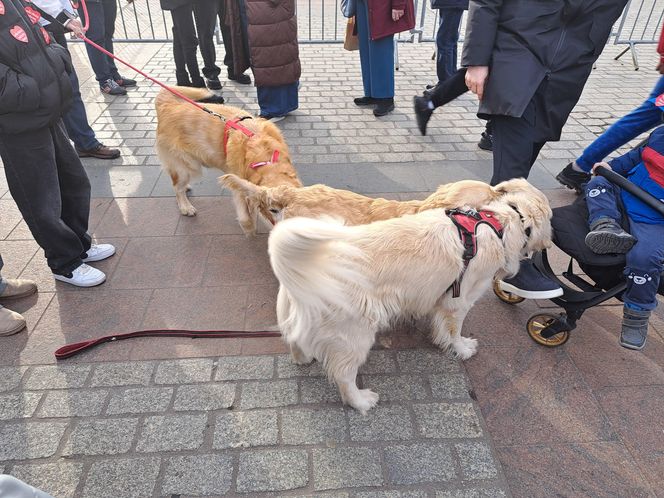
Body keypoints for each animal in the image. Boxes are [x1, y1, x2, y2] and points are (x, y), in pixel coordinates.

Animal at [156, 86, 300, 218]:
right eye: (273, 210)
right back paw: (185, 206)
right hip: (186, 165)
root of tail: (168, 104)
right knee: (177, 187)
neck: (266, 157)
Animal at [268, 179, 552, 412]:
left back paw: (304, 358)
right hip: (356, 331)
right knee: (343, 376)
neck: (499, 224)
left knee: (294, 339)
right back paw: (361, 401)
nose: (547, 246)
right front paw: (462, 348)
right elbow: (455, 331)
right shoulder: (459, 300)